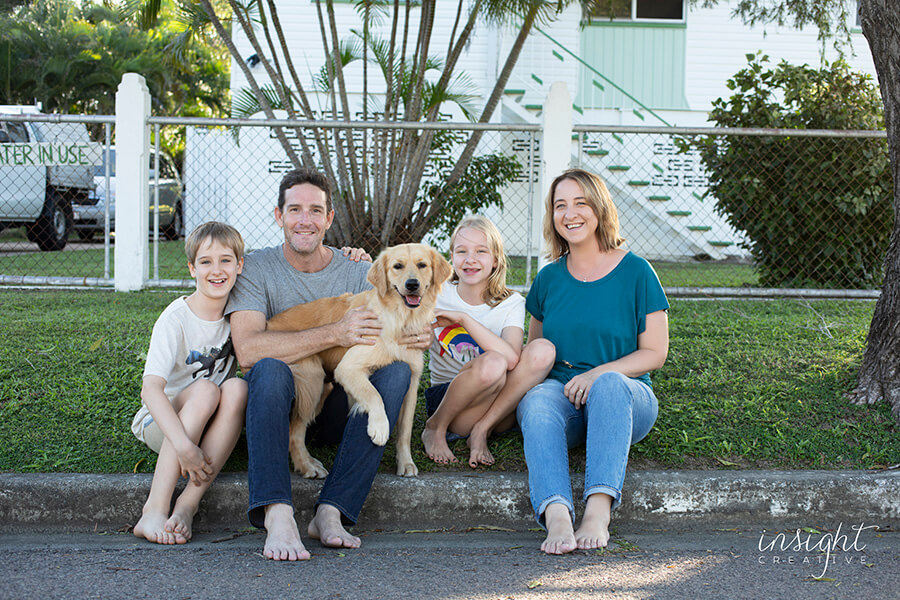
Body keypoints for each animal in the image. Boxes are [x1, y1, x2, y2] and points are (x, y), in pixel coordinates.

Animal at [266, 243, 450, 478]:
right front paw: (379, 427)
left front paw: (406, 462)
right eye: (397, 266)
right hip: (311, 380)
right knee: (294, 431)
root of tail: (268, 324)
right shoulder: (347, 368)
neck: (400, 320)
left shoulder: (413, 380)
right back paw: (307, 466)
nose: (412, 284)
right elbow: (374, 395)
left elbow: (405, 430)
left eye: (422, 265)